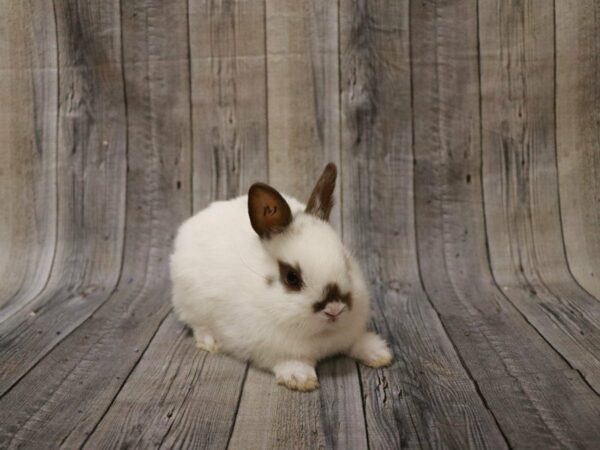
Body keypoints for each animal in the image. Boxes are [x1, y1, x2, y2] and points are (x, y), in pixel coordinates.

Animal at [170, 163, 394, 390]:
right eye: (292, 277)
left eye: (346, 263)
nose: (334, 309)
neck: (322, 335)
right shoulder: (273, 349)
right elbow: (290, 361)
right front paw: (300, 378)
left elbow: (357, 342)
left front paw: (379, 353)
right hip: (190, 304)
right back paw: (211, 342)